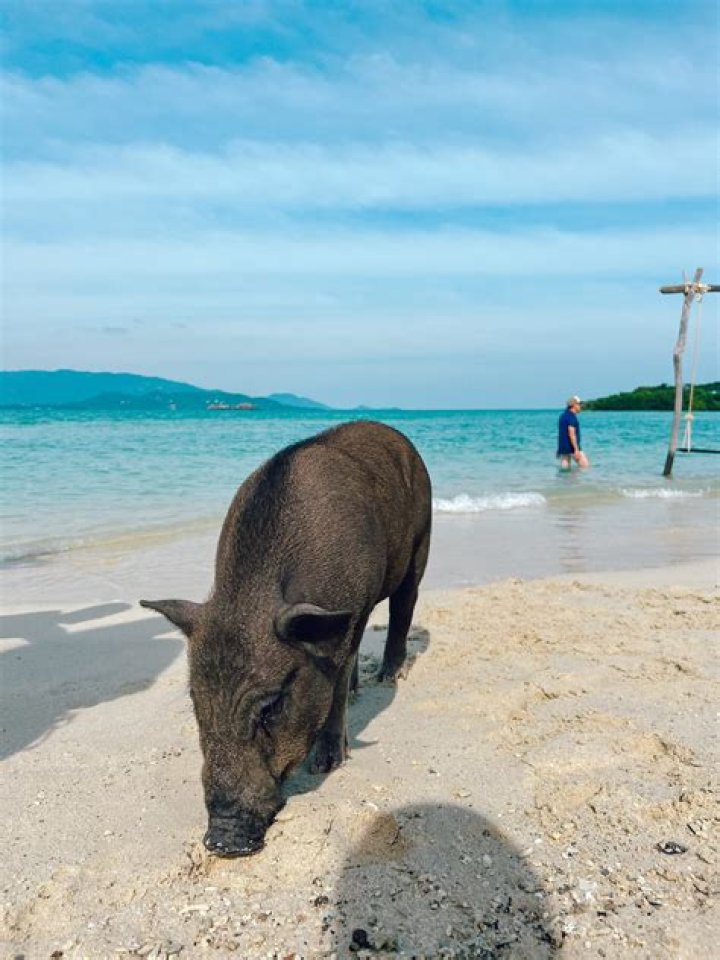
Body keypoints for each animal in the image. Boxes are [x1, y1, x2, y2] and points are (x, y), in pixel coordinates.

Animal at [140, 420, 431, 857]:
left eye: (271, 706)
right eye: (195, 701)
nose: (222, 841)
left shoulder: (356, 610)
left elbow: (337, 685)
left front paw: (327, 763)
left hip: (421, 543)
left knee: (403, 608)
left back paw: (387, 677)